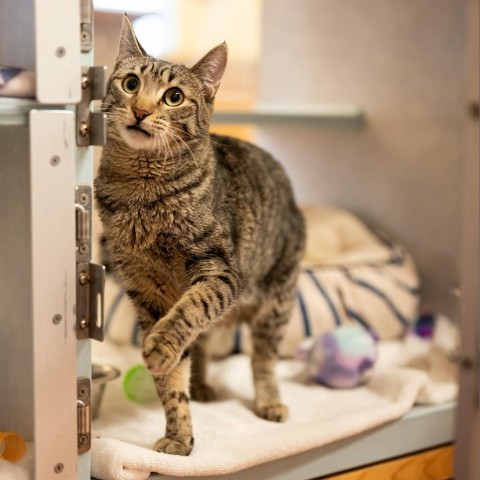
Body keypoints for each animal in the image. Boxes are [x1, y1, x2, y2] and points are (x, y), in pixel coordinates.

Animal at [94, 16, 304, 456]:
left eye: (174, 97)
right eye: (131, 83)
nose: (140, 110)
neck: (141, 195)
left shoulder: (217, 272)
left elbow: (189, 312)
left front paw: (160, 347)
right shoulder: (146, 291)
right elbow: (174, 378)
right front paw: (179, 435)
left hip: (276, 302)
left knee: (263, 360)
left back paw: (270, 401)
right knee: (205, 341)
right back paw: (204, 384)